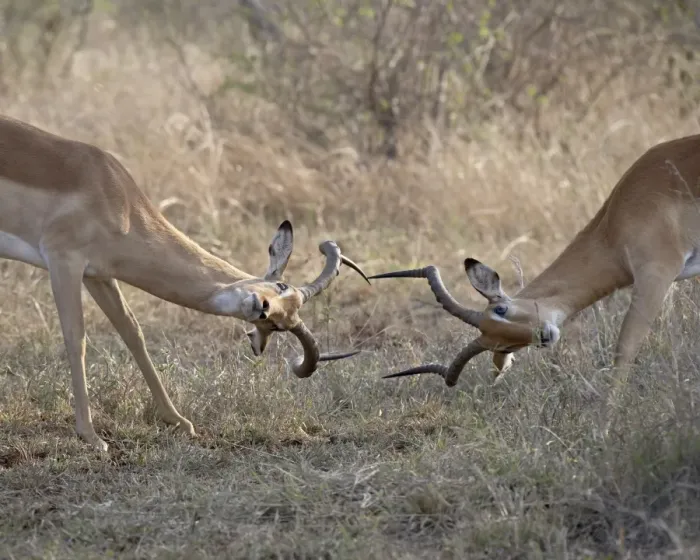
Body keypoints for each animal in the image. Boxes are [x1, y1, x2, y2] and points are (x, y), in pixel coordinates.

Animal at [0, 115, 370, 451]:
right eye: (281, 289)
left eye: (282, 324)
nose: (262, 308)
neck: (119, 201)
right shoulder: (64, 261)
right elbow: (76, 338)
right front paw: (91, 436)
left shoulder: (99, 274)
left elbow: (133, 332)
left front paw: (179, 421)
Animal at [370, 134, 700, 385]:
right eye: (504, 344)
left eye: (501, 309)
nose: (543, 336)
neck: (614, 226)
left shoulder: (656, 273)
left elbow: (624, 348)